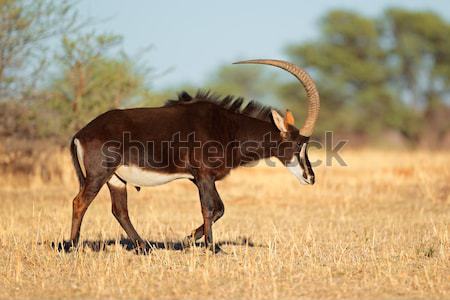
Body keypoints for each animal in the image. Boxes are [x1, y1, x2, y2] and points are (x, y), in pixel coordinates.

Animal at [68, 58, 320, 253]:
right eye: (298, 145)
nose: (310, 178)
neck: (227, 127)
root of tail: (81, 133)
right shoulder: (204, 176)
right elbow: (212, 208)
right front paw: (210, 247)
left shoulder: (199, 179)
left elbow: (217, 209)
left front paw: (188, 240)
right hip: (99, 175)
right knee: (80, 202)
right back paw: (72, 246)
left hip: (116, 179)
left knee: (120, 211)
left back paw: (144, 248)